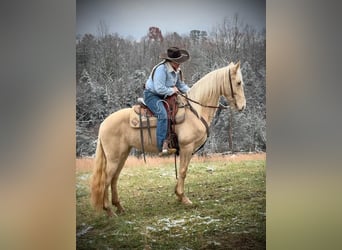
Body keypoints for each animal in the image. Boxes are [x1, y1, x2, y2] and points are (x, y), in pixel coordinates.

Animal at [91, 61, 246, 216]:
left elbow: (183, 169)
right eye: (238, 82)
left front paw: (178, 195)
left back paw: (119, 207)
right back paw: (109, 211)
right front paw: (184, 198)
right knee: (106, 180)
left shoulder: (187, 150)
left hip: (122, 155)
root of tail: (103, 124)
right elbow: (183, 171)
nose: (242, 106)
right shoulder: (186, 147)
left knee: (114, 178)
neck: (195, 110)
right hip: (114, 158)